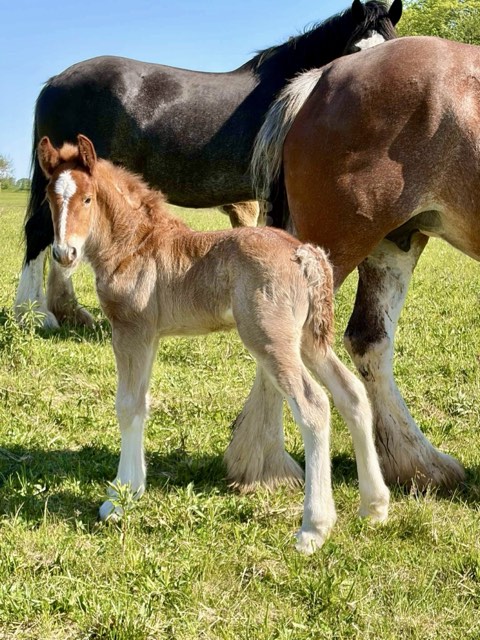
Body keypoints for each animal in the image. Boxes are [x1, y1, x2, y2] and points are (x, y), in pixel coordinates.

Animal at [15, 0, 402, 332]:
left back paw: (69, 312)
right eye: (355, 51)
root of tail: (55, 81)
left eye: (392, 48)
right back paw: (36, 315)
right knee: (38, 232)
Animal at [37, 134, 390, 553]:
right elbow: (141, 404)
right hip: (306, 340)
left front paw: (117, 500)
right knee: (350, 393)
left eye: (88, 198)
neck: (135, 246)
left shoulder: (129, 331)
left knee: (313, 404)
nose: (64, 253)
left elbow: (126, 406)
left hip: (270, 340)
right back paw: (374, 506)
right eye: (49, 197)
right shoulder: (149, 336)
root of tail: (304, 253)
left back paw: (313, 529)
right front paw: (133, 490)